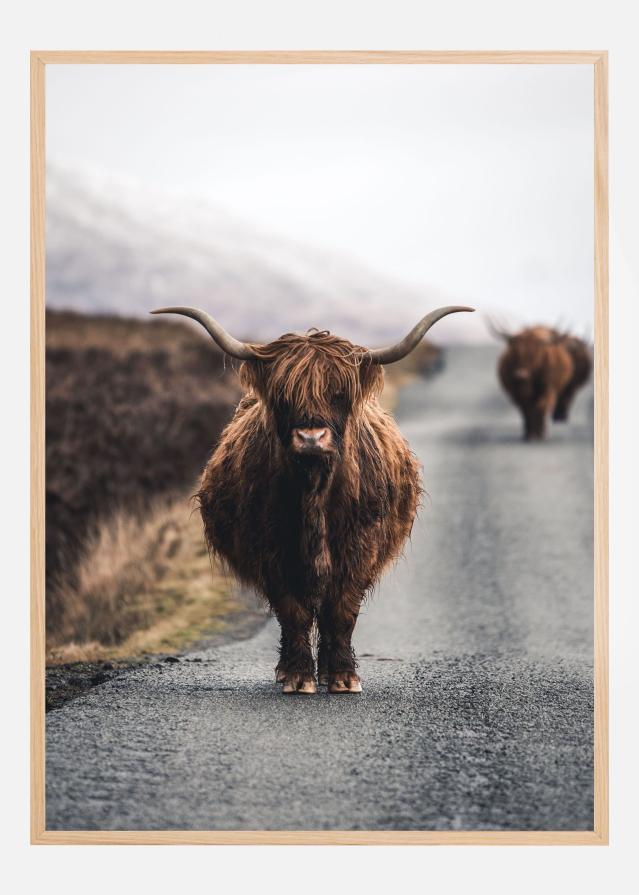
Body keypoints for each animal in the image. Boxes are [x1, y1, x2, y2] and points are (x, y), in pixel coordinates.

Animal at [152, 305, 473, 693]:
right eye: (284, 396)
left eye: (339, 394)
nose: (310, 437)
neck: (314, 490)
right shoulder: (270, 551)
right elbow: (293, 611)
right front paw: (298, 676)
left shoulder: (360, 547)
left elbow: (342, 611)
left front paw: (343, 677)